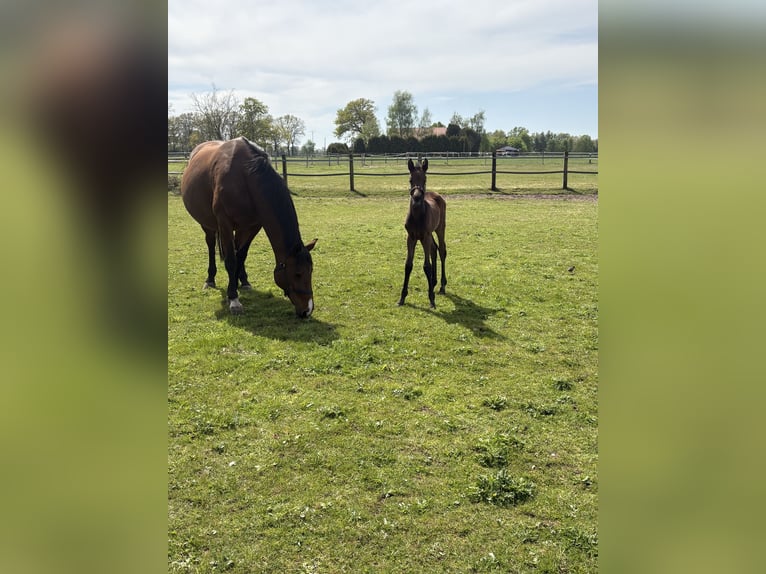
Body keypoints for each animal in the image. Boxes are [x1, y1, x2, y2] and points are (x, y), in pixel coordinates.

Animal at [180, 137, 317, 318]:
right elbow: (231, 260)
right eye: (297, 274)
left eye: (311, 271)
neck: (244, 177)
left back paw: (241, 280)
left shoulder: (253, 226)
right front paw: (233, 299)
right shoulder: (224, 224)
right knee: (210, 245)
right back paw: (210, 279)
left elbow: (241, 255)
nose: (307, 310)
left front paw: (240, 283)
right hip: (208, 224)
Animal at [398, 158, 447, 308]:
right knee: (434, 249)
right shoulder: (411, 237)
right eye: (410, 179)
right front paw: (402, 297)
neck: (417, 216)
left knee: (442, 250)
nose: (417, 197)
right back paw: (433, 282)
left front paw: (431, 299)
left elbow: (427, 266)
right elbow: (408, 265)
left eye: (425, 179)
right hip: (430, 234)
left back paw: (442, 286)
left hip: (439, 228)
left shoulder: (424, 237)